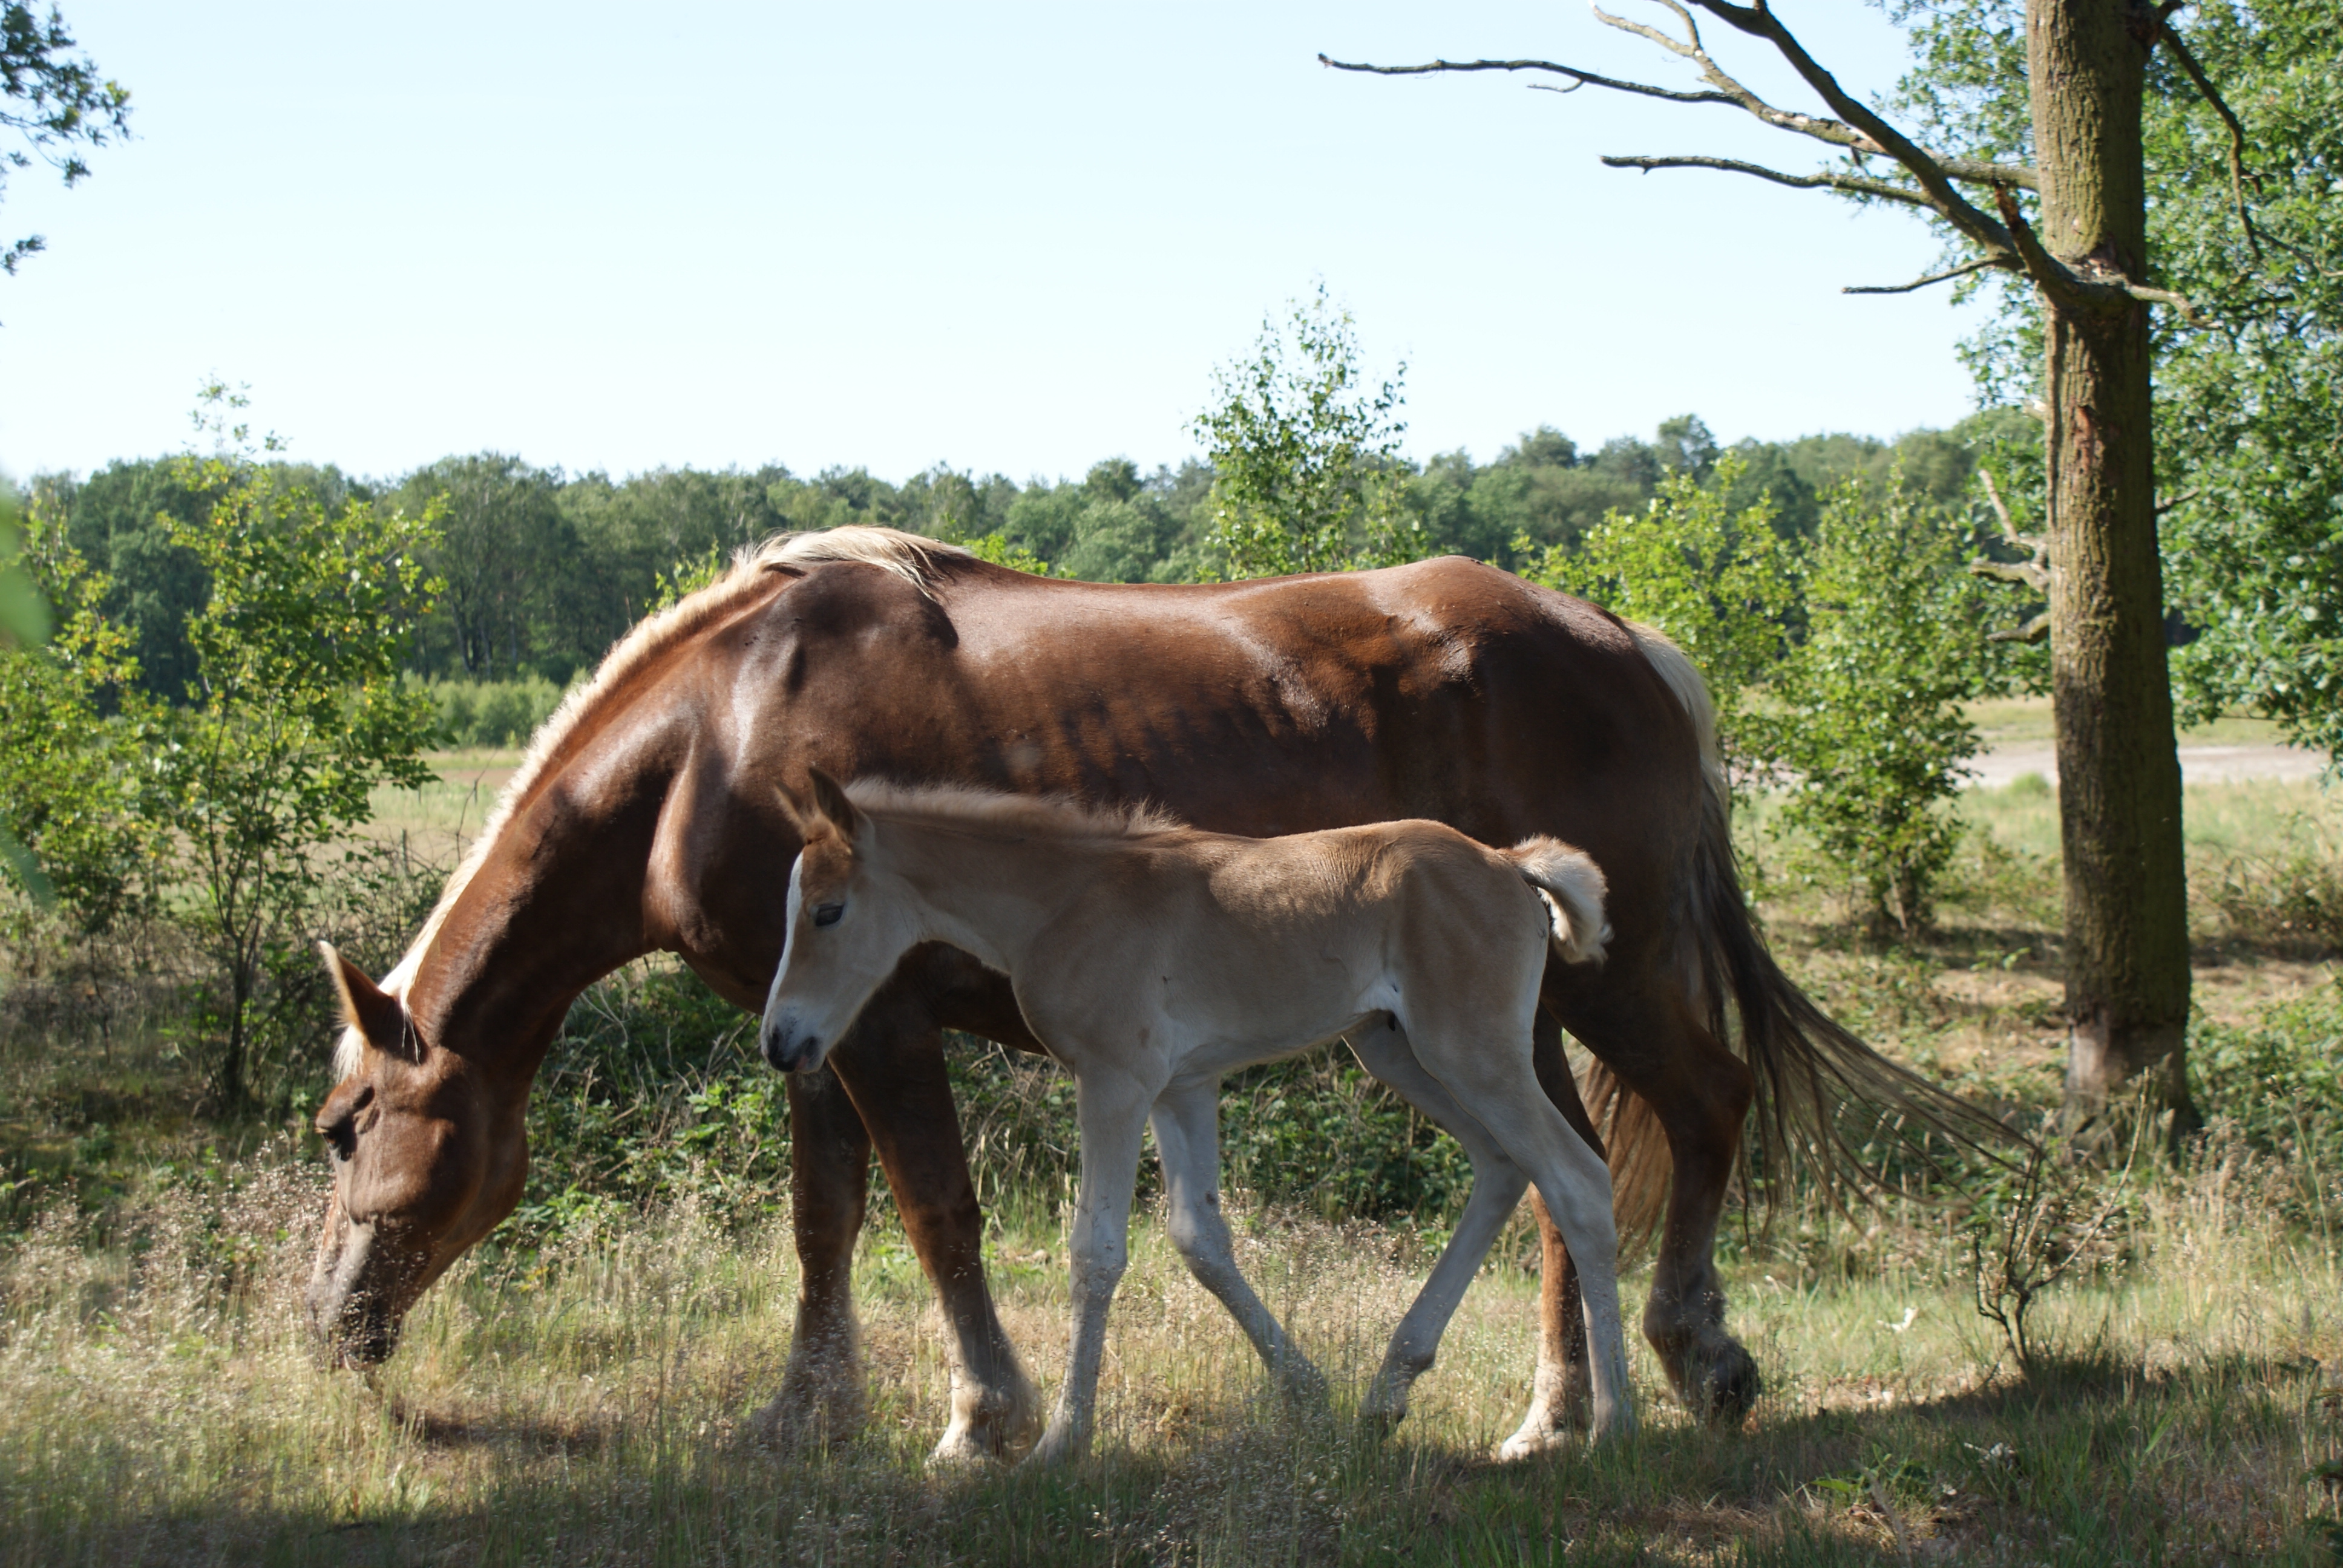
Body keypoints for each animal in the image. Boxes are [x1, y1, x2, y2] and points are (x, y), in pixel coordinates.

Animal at [759, 764, 1640, 1462]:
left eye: (828, 911)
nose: (781, 1040)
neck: (1065, 900)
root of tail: (1509, 863)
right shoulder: (1181, 1087)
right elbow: (1200, 1240)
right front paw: (1305, 1392)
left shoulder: (1115, 1080)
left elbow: (1097, 1253)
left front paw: (1061, 1443)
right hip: (1397, 1050)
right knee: (1501, 1166)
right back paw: (1387, 1389)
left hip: (1473, 1050)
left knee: (1577, 1178)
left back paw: (1612, 1426)